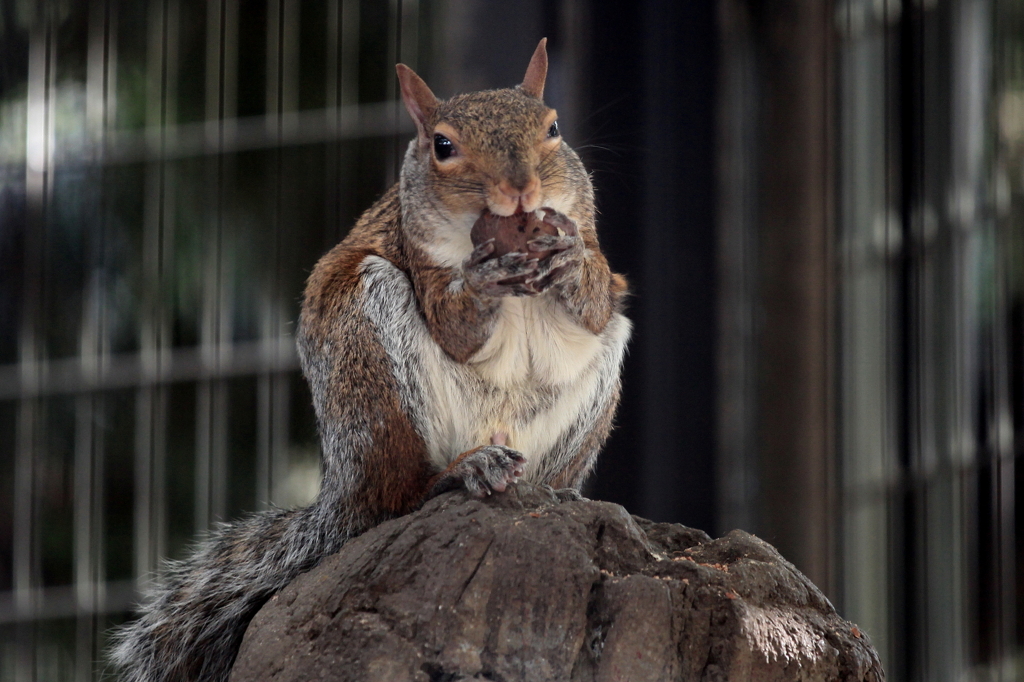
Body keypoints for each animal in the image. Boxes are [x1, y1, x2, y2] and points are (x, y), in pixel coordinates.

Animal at [108, 41, 626, 679]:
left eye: (553, 128)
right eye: (442, 146)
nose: (521, 191)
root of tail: (342, 489)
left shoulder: (591, 241)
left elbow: (596, 303)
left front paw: (571, 258)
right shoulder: (416, 253)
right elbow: (456, 328)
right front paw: (483, 279)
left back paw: (557, 492)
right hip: (371, 366)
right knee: (396, 498)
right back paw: (458, 472)